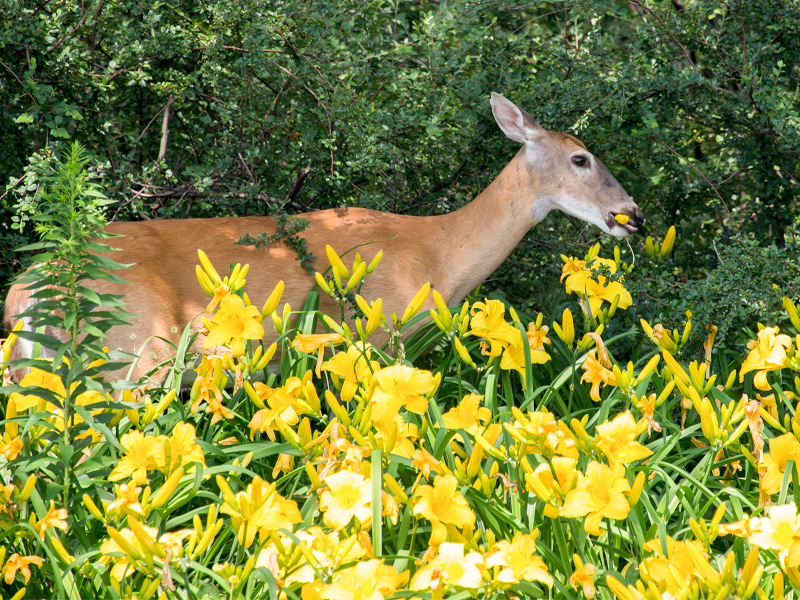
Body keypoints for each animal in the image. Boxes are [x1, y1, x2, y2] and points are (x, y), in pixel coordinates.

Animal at [4, 93, 643, 382]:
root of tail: (25, 291)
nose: (632, 214)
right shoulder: (380, 332)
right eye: (581, 158)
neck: (438, 255)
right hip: (133, 356)